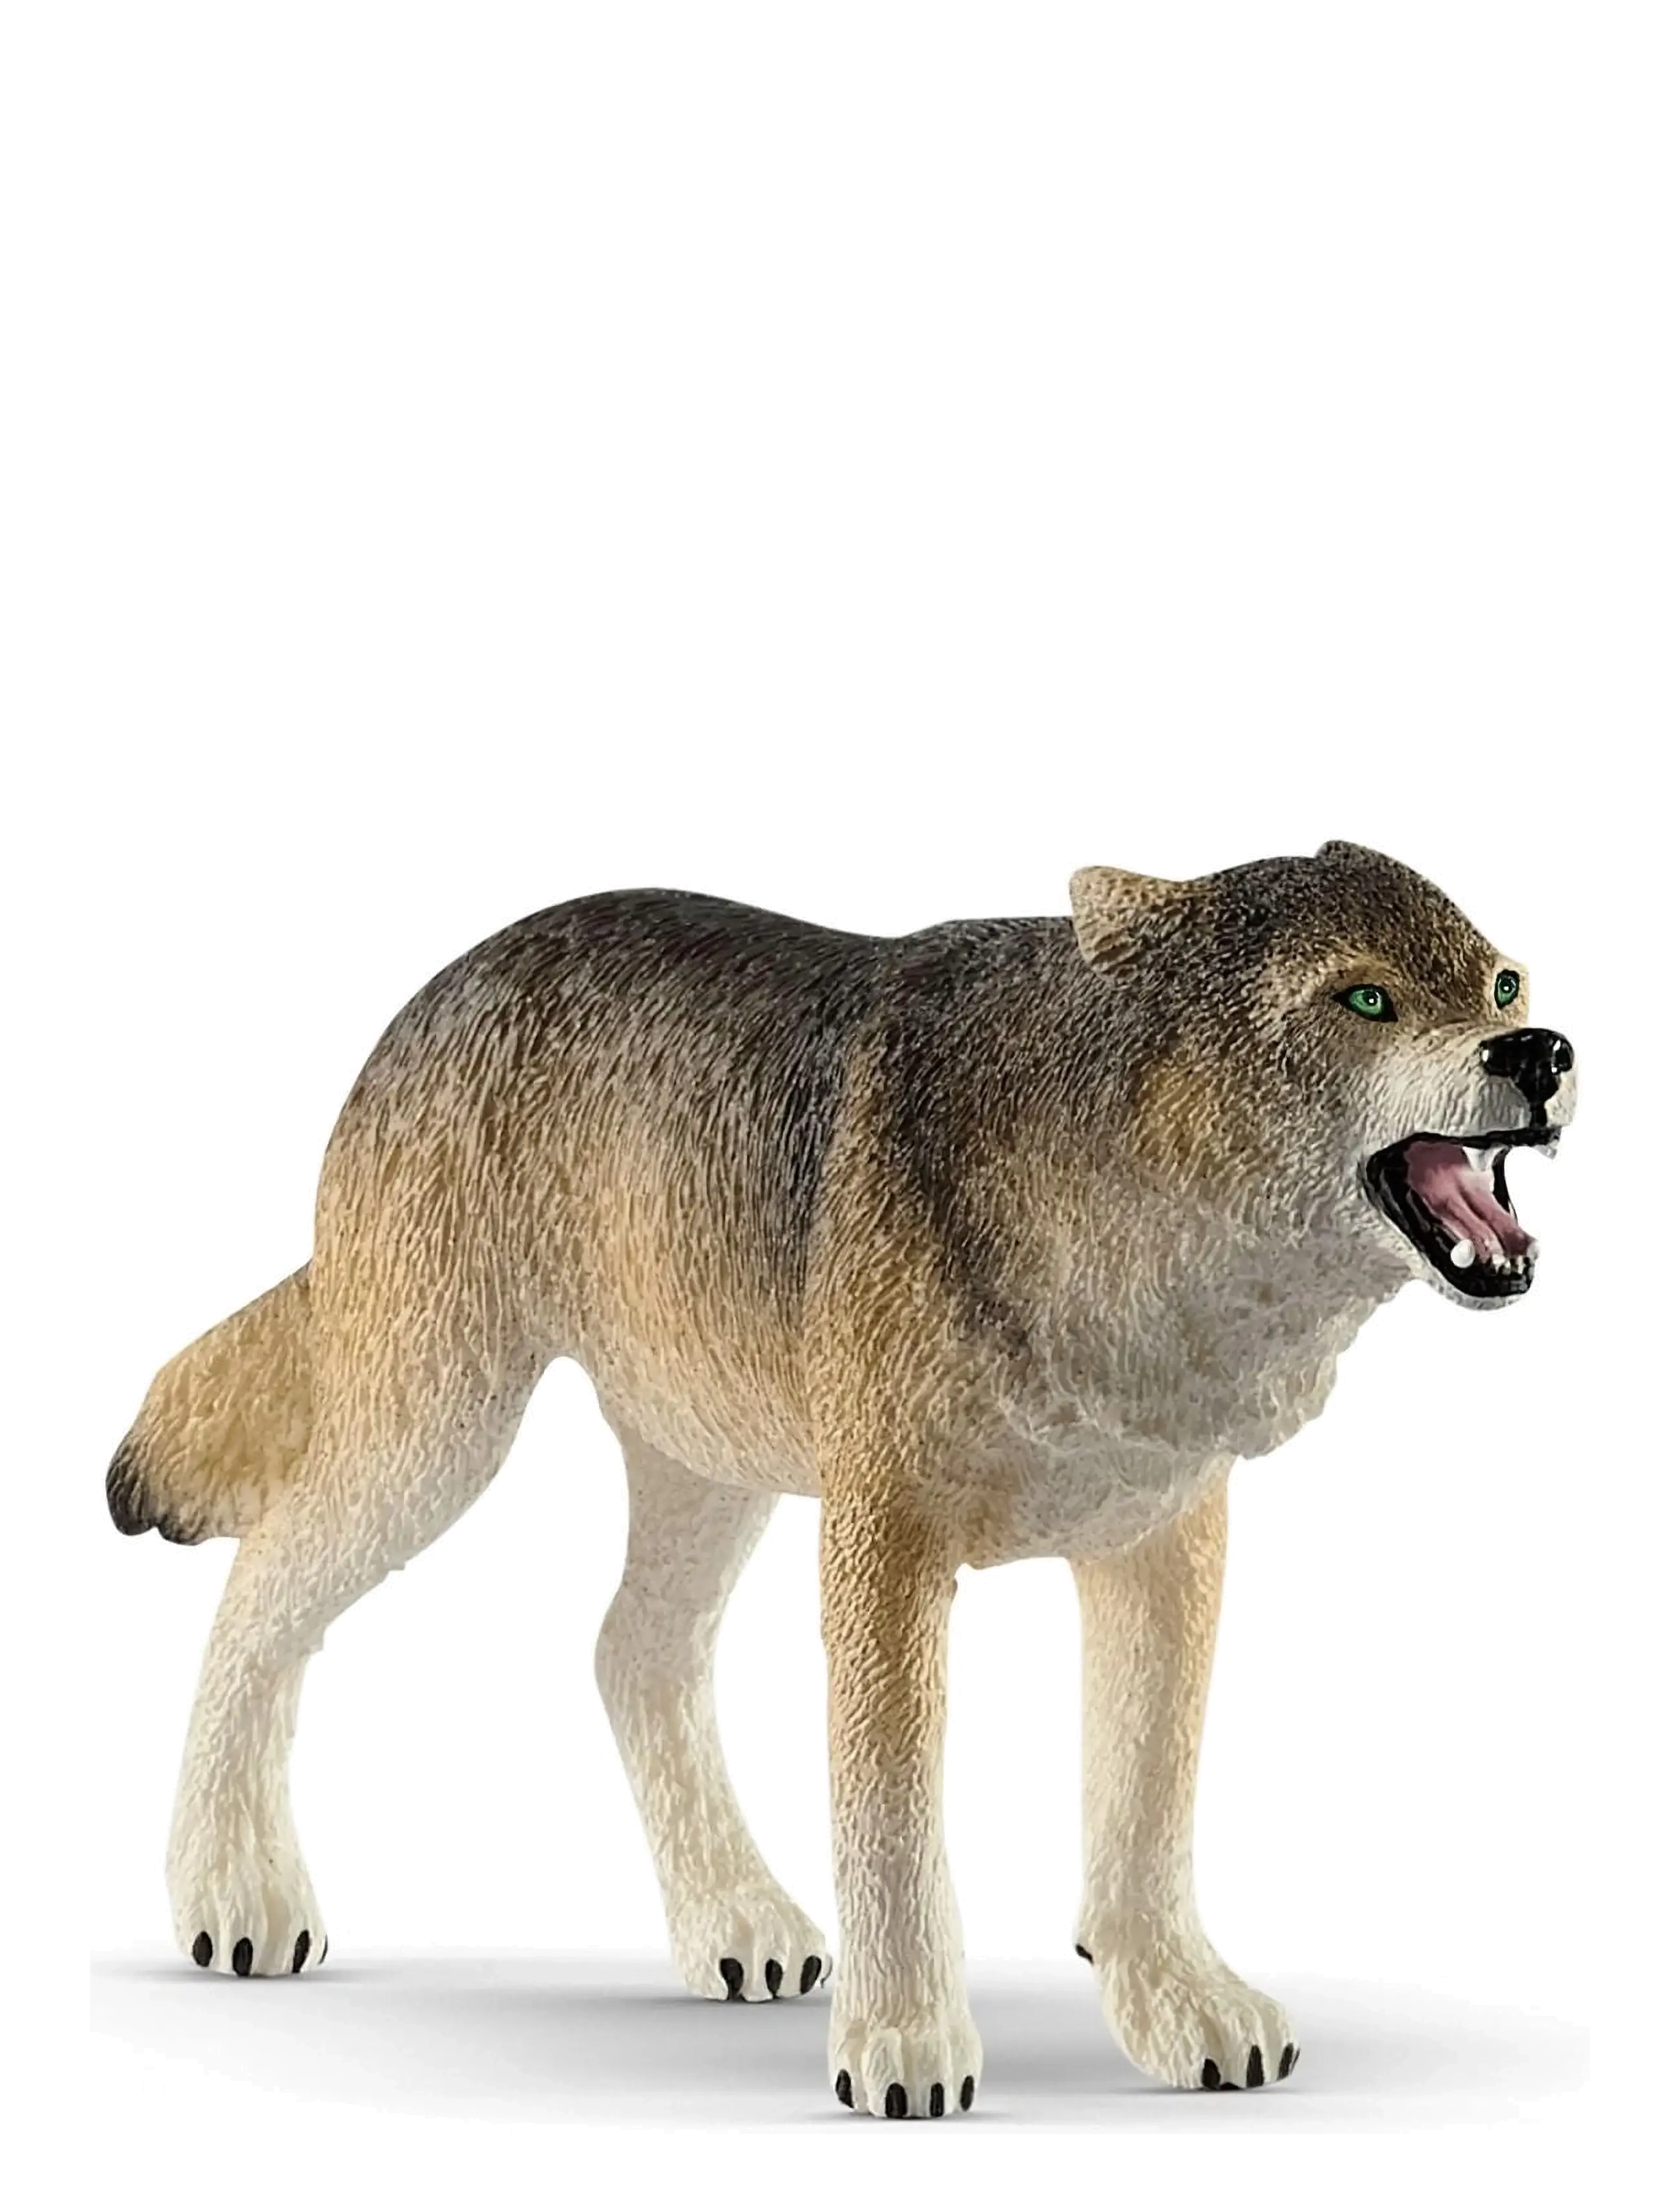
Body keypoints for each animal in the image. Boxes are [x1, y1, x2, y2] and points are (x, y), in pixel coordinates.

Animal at [103, 839, 1581, 2120]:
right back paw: (234, 1901)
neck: (1133, 1224)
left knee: (627, 1643)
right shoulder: (888, 1540)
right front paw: (904, 2044)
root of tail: (445, 983)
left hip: (706, 1466)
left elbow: (1150, 1802)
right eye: (1365, 999)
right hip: (437, 1433)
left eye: (1501, 982)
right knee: (256, 1593)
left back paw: (736, 1924)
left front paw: (1178, 2006)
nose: (1541, 1052)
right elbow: (890, 1824)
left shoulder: (1163, 1538)